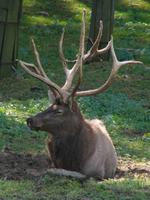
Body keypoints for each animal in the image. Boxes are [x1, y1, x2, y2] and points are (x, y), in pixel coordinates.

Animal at [18, 9, 142, 180]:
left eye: (59, 111)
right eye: (49, 105)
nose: (30, 119)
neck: (77, 158)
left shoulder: (97, 173)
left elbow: (75, 174)